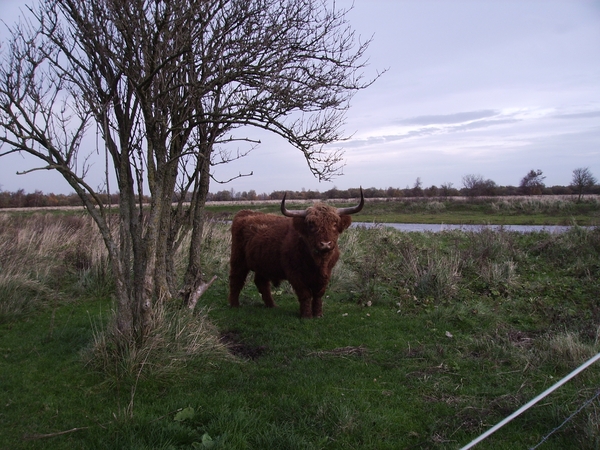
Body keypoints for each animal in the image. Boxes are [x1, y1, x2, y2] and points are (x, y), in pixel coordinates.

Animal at [227, 188, 364, 318]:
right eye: (311, 225)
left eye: (335, 224)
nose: (325, 244)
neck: (318, 261)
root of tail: (245, 212)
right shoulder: (295, 274)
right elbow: (305, 294)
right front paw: (306, 315)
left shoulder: (326, 274)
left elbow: (318, 294)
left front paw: (318, 314)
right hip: (238, 259)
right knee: (236, 279)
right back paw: (234, 305)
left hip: (263, 263)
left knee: (262, 283)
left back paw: (272, 305)